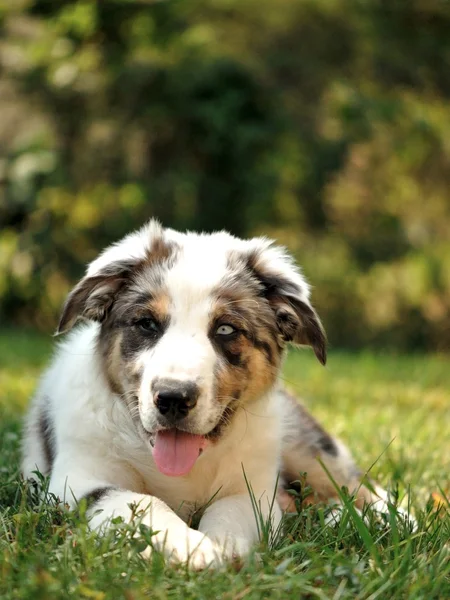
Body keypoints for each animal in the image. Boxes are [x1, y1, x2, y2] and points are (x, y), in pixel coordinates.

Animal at [21, 219, 386, 568]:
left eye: (225, 329)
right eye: (147, 324)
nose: (173, 398)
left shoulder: (253, 487)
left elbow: (232, 512)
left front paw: (224, 548)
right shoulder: (77, 480)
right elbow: (136, 501)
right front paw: (188, 547)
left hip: (304, 445)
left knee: (361, 488)